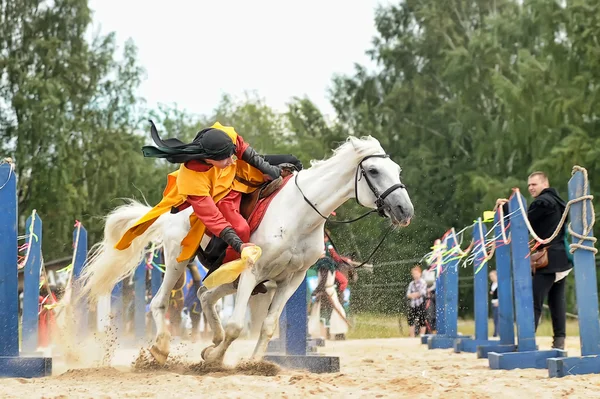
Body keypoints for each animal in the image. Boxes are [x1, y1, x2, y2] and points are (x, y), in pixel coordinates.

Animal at [77, 137, 414, 366]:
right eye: (373, 170)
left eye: (397, 169)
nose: (404, 210)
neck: (299, 213)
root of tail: (172, 212)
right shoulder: (253, 271)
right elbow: (237, 326)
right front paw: (215, 358)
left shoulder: (291, 280)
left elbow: (266, 326)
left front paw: (252, 362)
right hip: (177, 262)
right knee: (159, 303)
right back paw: (160, 349)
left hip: (228, 279)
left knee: (204, 295)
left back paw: (210, 339)